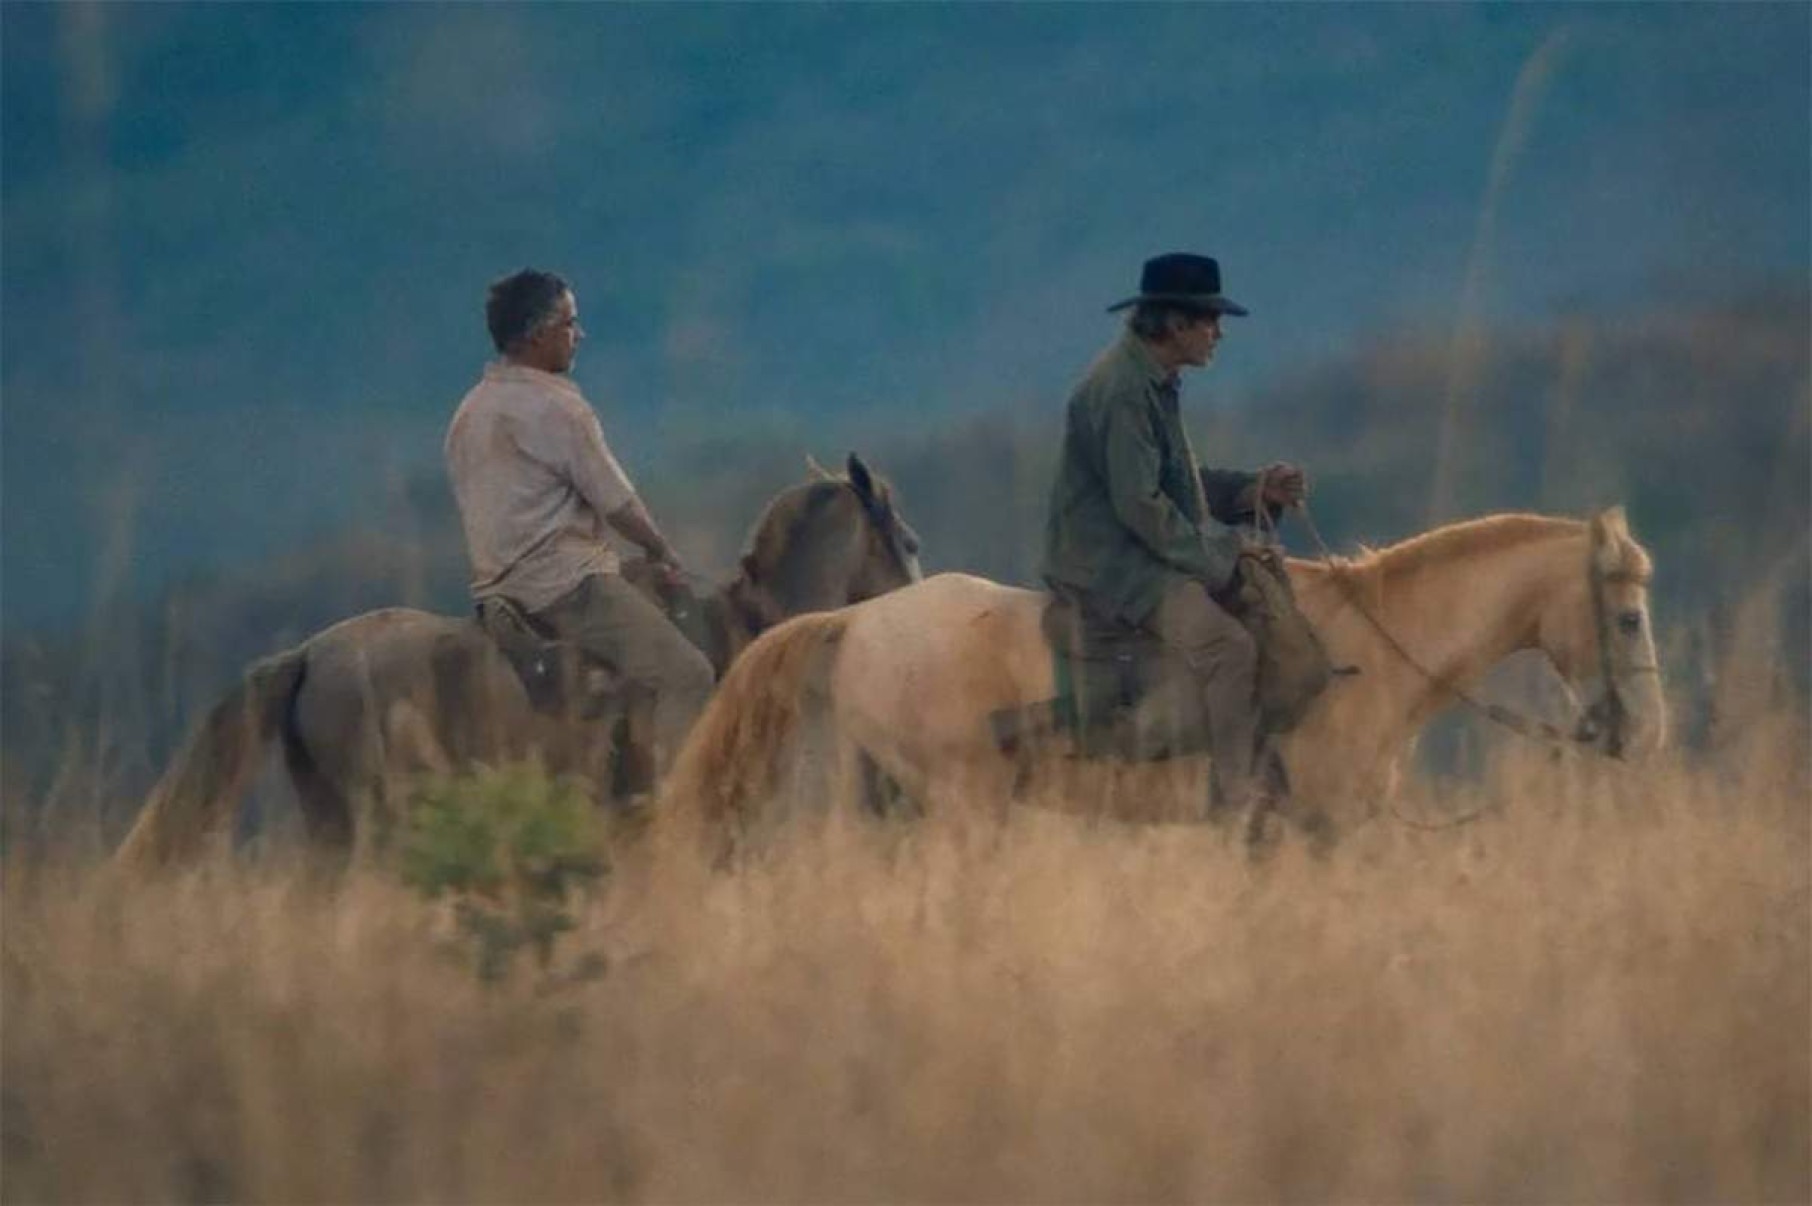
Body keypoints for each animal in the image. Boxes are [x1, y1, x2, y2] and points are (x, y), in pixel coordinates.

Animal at [659, 507, 1659, 843]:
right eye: (1628, 615)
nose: (1649, 734)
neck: (1370, 653)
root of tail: (860, 621)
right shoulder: (1326, 828)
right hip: (962, 807)